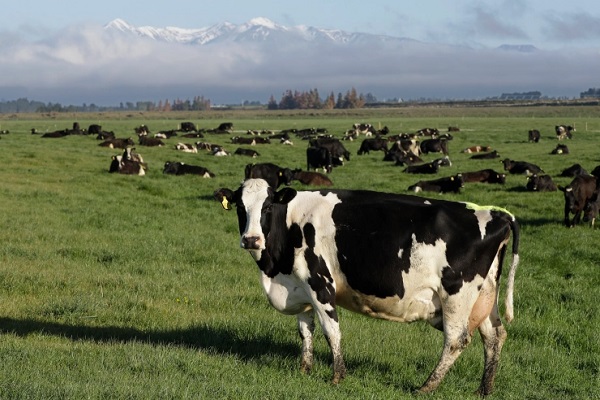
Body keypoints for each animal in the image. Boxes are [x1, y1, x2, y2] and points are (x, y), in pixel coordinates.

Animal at [214, 180, 520, 396]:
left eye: (267, 207)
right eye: (240, 208)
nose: (251, 239)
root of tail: (497, 214)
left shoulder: (320, 283)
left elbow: (331, 331)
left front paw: (337, 376)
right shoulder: (299, 287)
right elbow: (305, 331)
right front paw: (304, 369)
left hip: (457, 293)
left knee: (456, 339)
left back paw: (426, 387)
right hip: (484, 296)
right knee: (494, 336)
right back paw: (484, 389)